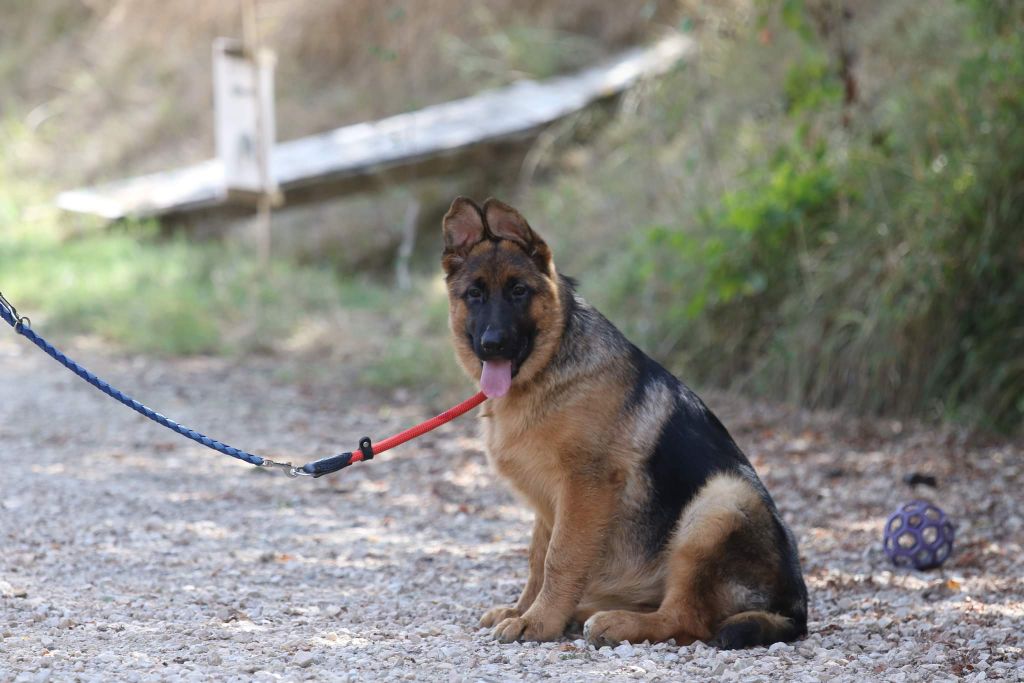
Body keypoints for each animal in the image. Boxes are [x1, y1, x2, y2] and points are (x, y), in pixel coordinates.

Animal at [440, 194, 806, 651]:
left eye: (518, 291)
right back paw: (585, 612)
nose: (493, 345)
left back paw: (615, 623)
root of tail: (795, 610)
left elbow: (560, 557)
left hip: (718, 503)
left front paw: (537, 622)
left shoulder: (584, 487)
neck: (549, 369)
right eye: (474, 294)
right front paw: (523, 610)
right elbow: (538, 558)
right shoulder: (549, 501)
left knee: (684, 619)